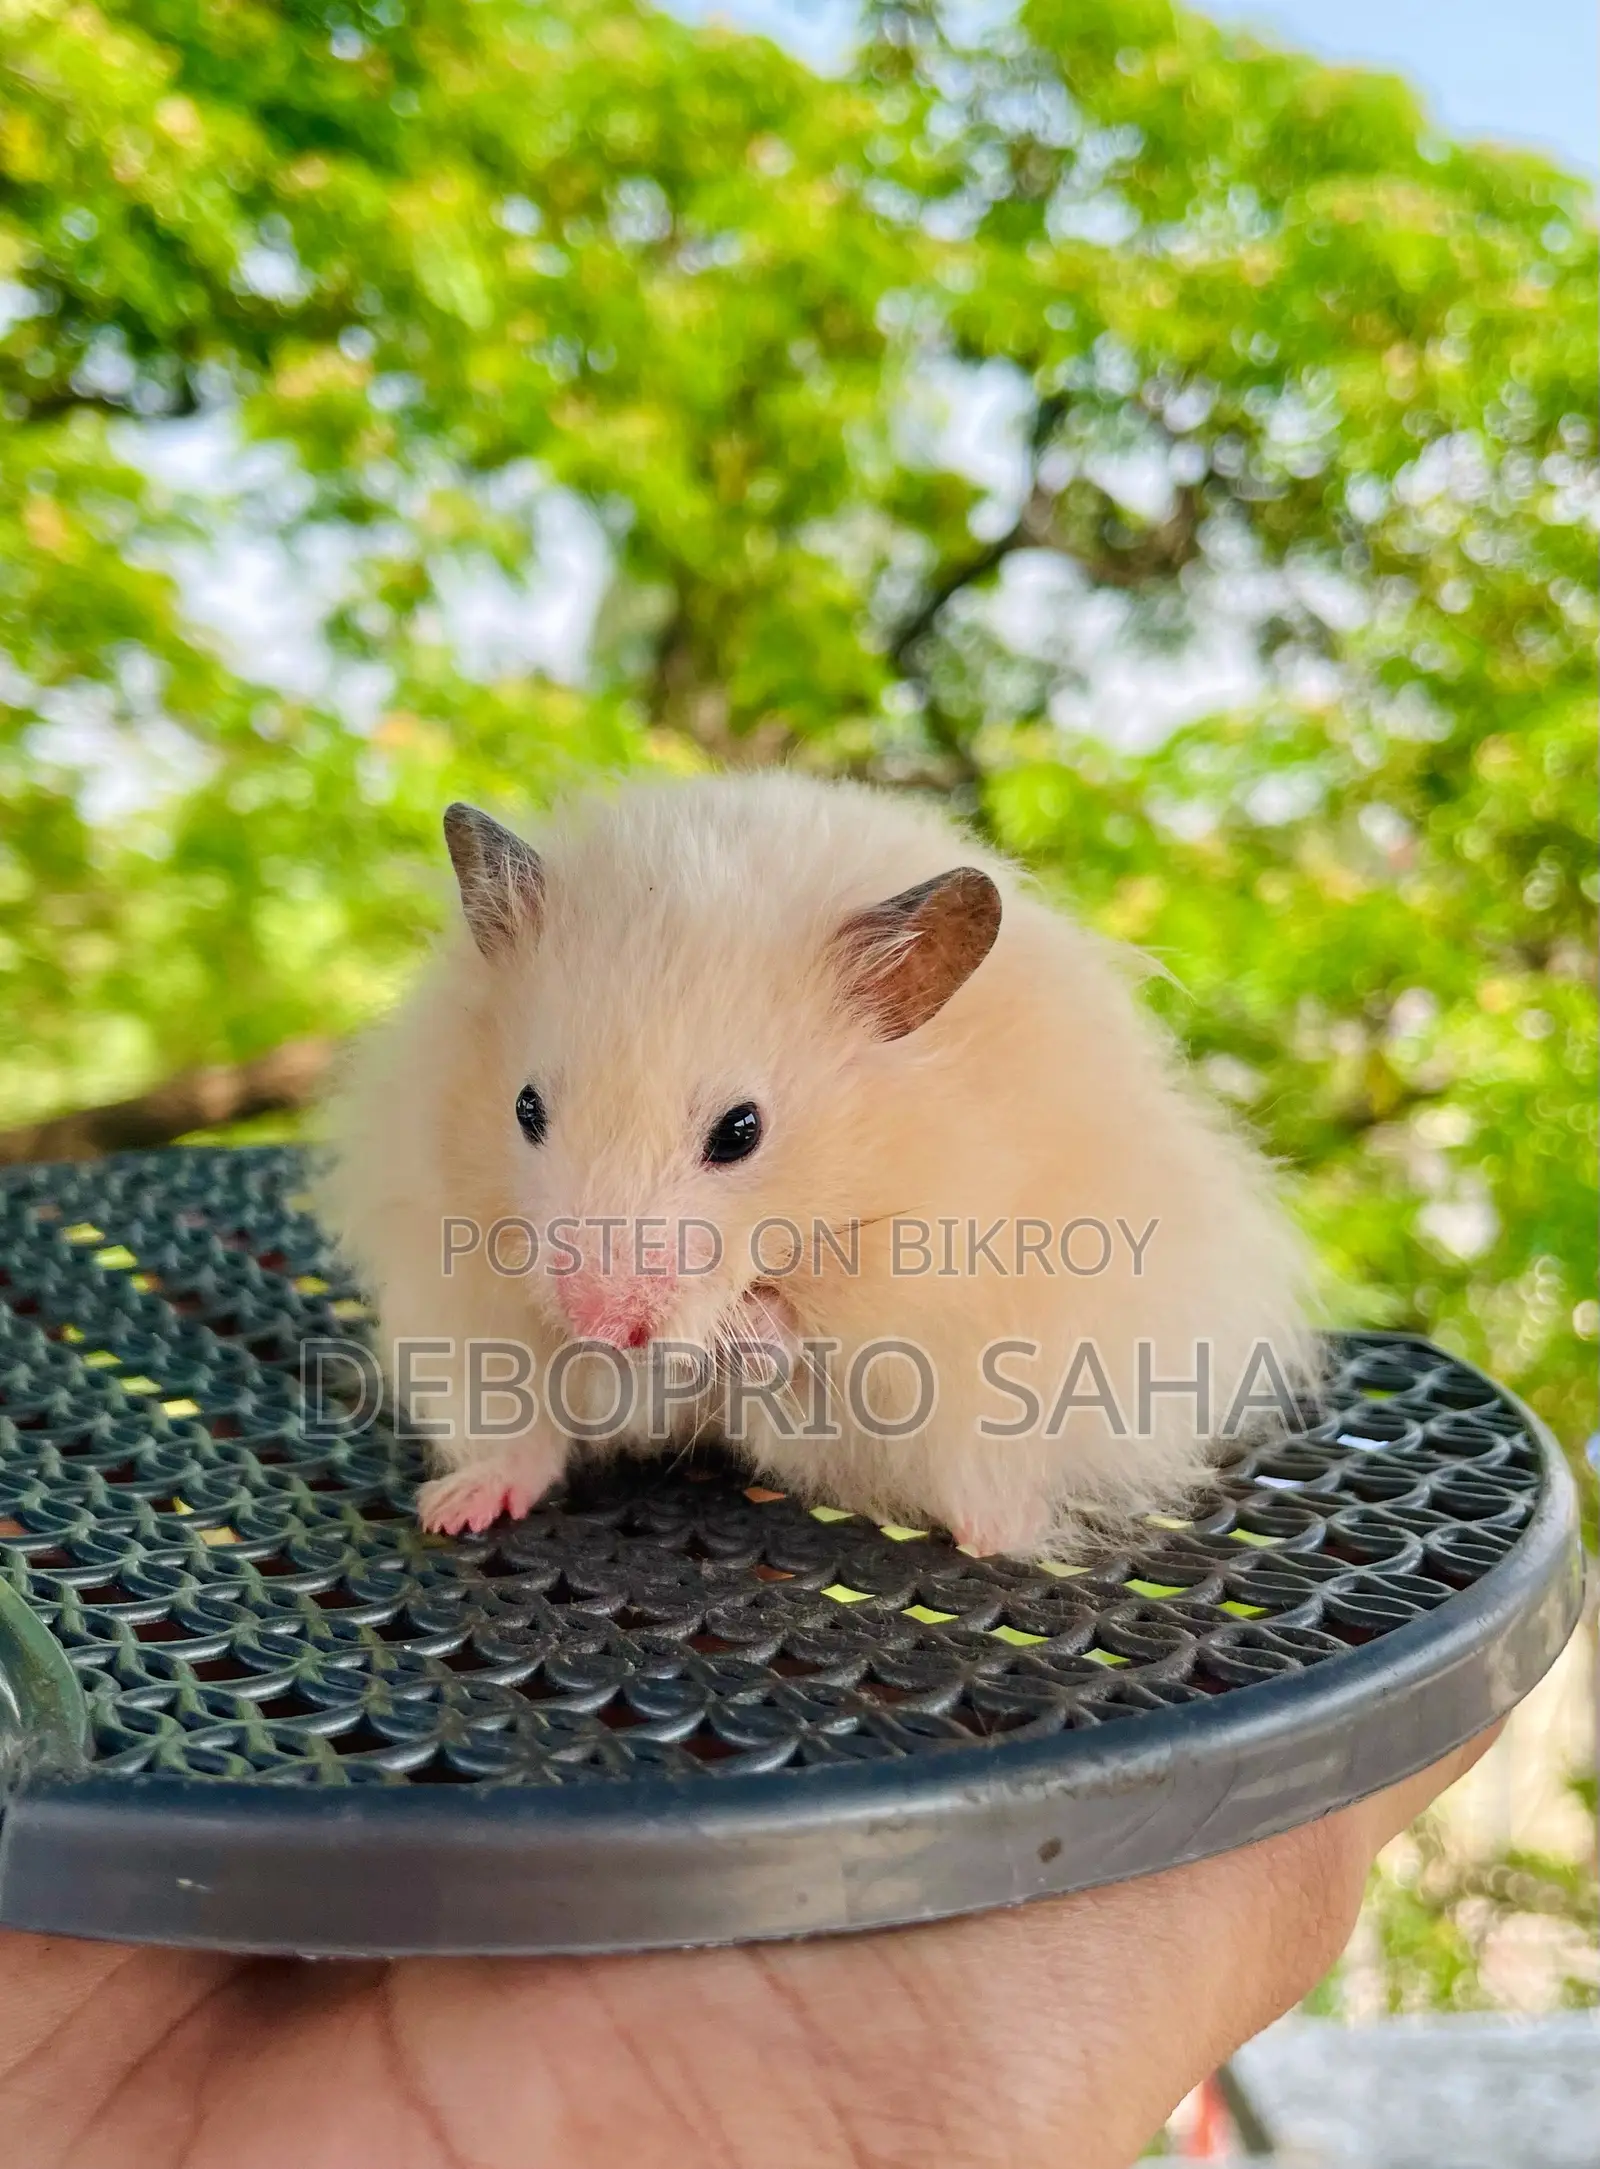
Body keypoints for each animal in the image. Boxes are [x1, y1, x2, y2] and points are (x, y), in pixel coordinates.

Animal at [321, 772, 1312, 1557]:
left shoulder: (940, 1266)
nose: (601, 1325)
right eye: (526, 1109)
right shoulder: (453, 1261)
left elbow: (824, 1325)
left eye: (740, 1131)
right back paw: (457, 1508)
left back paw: (996, 1532)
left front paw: (744, 1334)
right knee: (518, 1440)